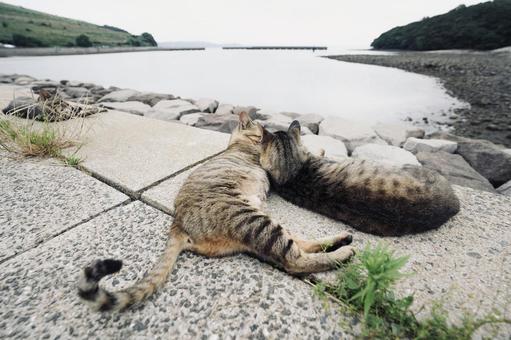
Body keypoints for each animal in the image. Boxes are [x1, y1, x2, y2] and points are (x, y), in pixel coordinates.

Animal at [79, 113, 356, 312]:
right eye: (258, 133)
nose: (262, 137)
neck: (236, 143)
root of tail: (177, 224)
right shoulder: (269, 157)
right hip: (254, 220)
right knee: (294, 260)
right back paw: (343, 253)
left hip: (262, 218)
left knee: (301, 244)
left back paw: (341, 240)